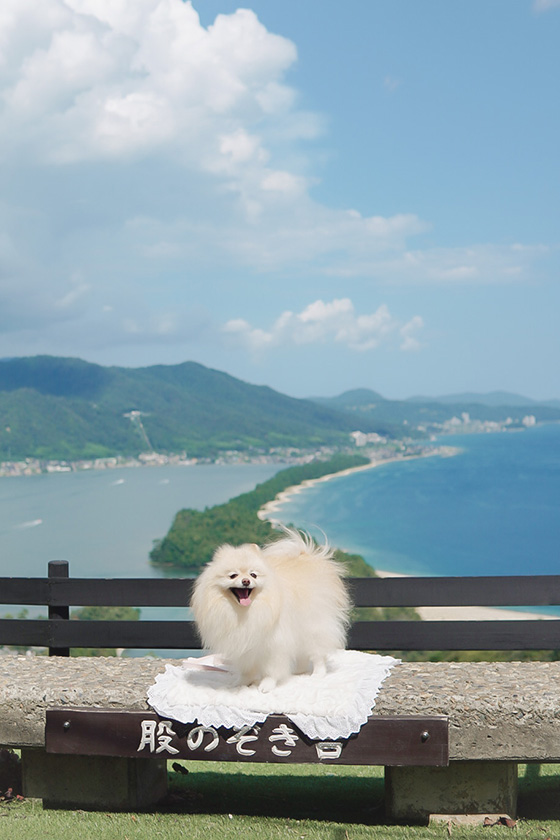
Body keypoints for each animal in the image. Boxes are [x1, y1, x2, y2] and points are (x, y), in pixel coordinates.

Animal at [191, 532, 350, 688]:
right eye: (233, 575)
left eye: (253, 575)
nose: (246, 581)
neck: (245, 612)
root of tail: (308, 556)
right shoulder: (244, 646)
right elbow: (246, 669)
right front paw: (241, 683)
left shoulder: (274, 645)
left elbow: (271, 670)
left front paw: (266, 685)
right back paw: (299, 671)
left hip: (313, 626)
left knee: (317, 653)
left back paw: (318, 674)